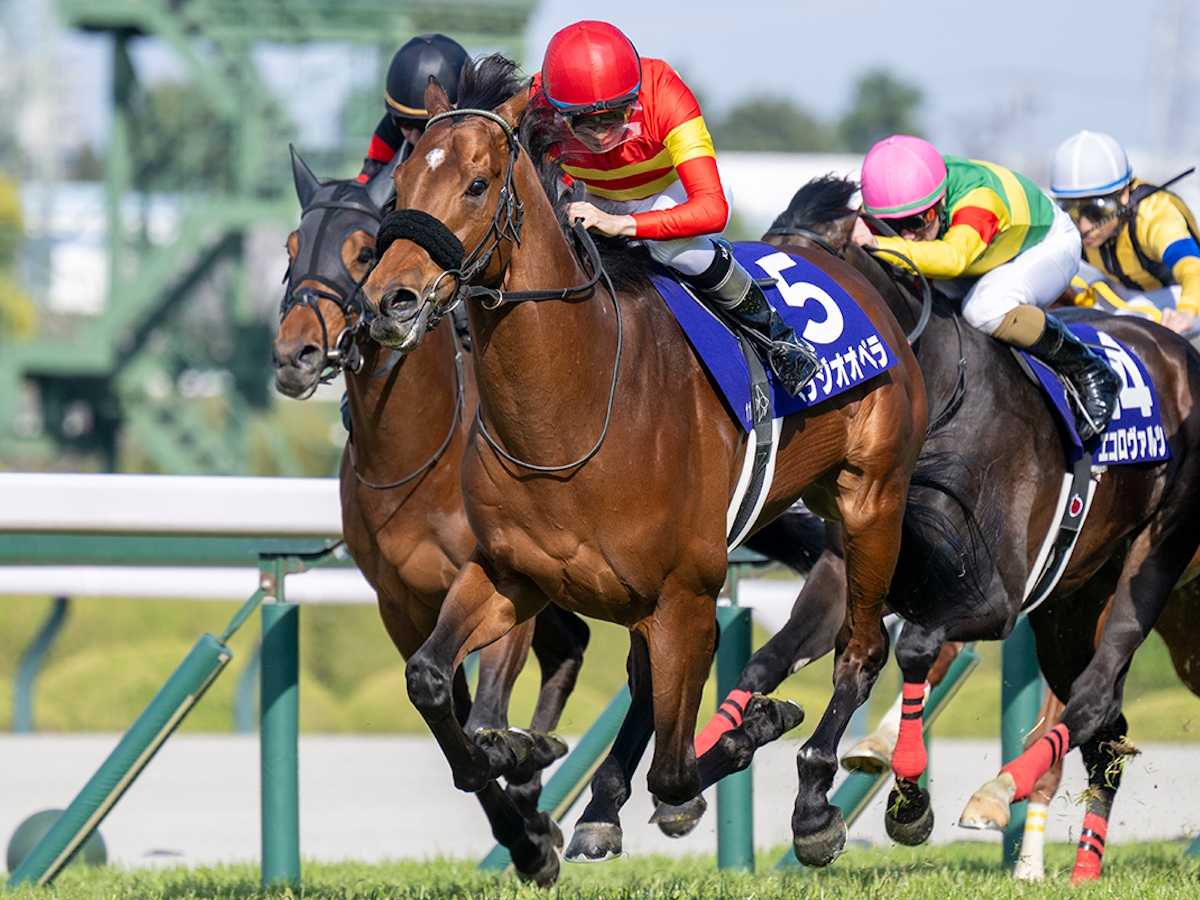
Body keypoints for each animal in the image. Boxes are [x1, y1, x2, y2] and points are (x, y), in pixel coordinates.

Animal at [270, 148, 592, 885]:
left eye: (363, 253)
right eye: (291, 249)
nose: (295, 355)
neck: (415, 453)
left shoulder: (503, 579)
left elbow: (487, 707)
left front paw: (527, 802)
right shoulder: (402, 603)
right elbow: (451, 714)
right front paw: (527, 831)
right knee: (571, 643)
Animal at [360, 56, 927, 873]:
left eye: (476, 184)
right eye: (399, 187)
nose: (389, 302)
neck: (572, 412)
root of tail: (850, 268)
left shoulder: (688, 591)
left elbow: (676, 768)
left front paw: (753, 730)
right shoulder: (509, 574)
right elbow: (432, 682)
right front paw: (509, 755)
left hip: (870, 499)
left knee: (860, 645)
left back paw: (814, 804)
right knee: (642, 679)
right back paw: (600, 806)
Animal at [693, 173, 1200, 876]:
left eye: (783, 291)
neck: (939, 399)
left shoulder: (998, 599)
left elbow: (913, 646)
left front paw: (903, 794)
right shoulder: (848, 566)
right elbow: (773, 659)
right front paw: (718, 761)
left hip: (1153, 558)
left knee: (1098, 691)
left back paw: (1001, 789)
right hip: (1069, 605)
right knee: (1106, 728)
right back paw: (1082, 865)